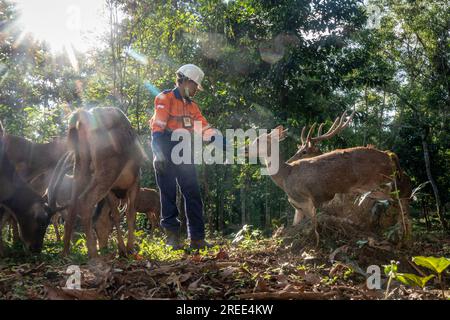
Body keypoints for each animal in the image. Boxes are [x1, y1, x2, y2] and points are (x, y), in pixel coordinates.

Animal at [50, 107, 146, 258]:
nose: (103, 246)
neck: (120, 192)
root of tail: (82, 117)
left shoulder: (111, 191)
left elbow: (116, 215)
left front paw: (122, 249)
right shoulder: (135, 182)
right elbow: (130, 214)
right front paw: (130, 249)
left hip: (80, 165)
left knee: (73, 204)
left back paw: (65, 251)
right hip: (108, 169)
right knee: (85, 200)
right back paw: (93, 252)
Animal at [246, 114, 412, 246]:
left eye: (259, 140)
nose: (245, 149)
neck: (285, 176)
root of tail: (390, 156)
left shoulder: (307, 199)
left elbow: (314, 227)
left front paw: (315, 244)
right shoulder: (297, 205)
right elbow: (295, 224)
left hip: (379, 182)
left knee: (401, 199)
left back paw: (401, 237)